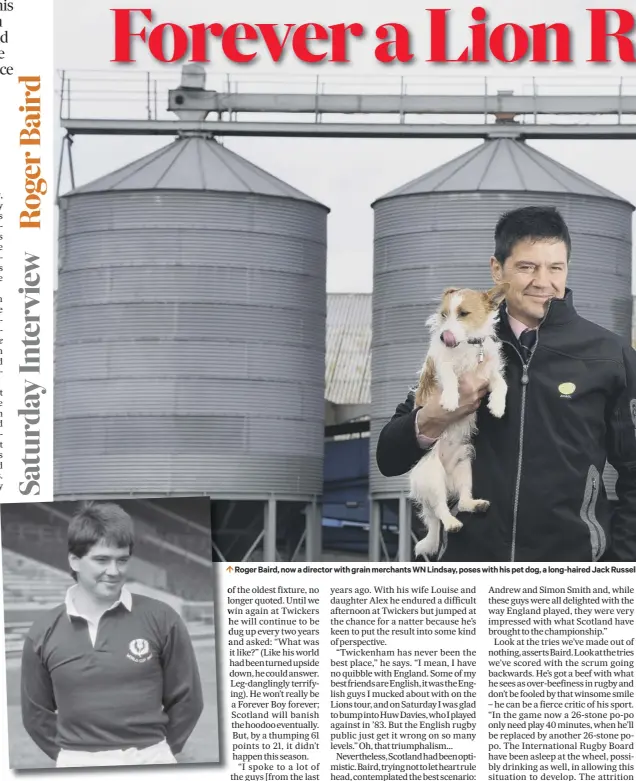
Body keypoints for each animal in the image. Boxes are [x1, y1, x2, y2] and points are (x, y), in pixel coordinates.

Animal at [410, 284, 510, 556]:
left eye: (464, 314)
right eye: (444, 315)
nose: (445, 336)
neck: (468, 346)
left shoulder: (488, 372)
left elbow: (501, 383)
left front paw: (498, 405)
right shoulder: (441, 363)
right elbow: (450, 376)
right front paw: (451, 399)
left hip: (465, 467)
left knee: (462, 501)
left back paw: (475, 505)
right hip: (432, 476)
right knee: (441, 509)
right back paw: (452, 523)